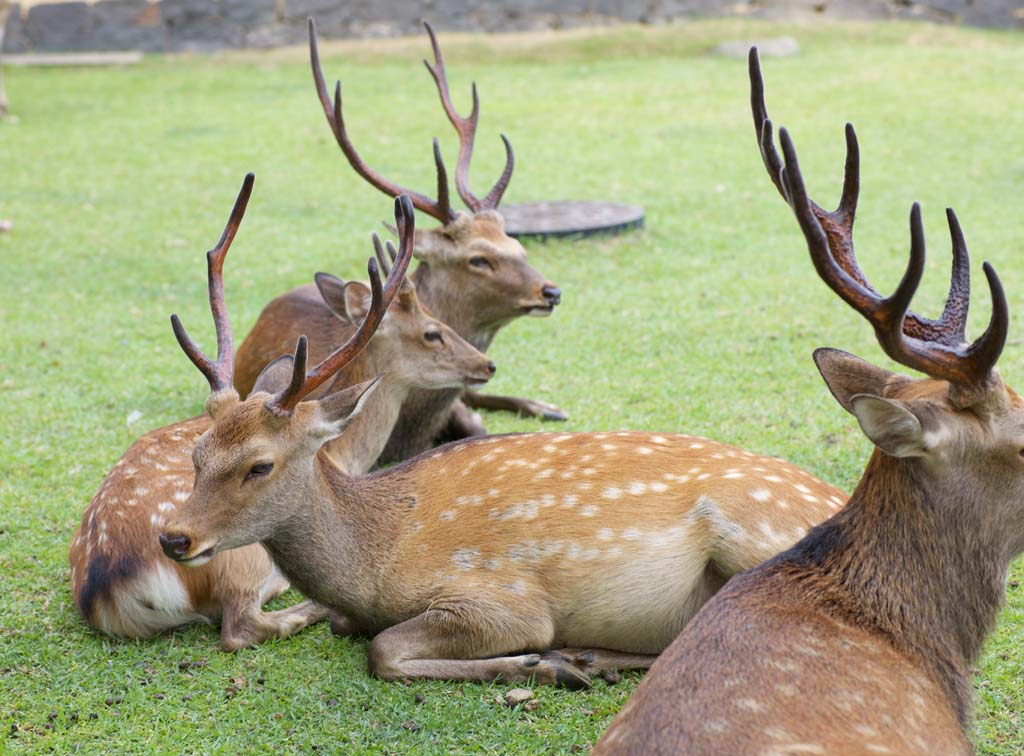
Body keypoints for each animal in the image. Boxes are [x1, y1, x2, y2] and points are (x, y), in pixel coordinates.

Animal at [71, 178, 495, 647]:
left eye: (197, 455)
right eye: (432, 332)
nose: (486, 364)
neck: (343, 454)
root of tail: (107, 588)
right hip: (238, 556)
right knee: (240, 626)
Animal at [155, 178, 851, 688]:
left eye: (260, 464)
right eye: (196, 454)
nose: (173, 536)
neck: (375, 558)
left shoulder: (499, 595)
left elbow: (386, 649)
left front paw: (533, 662)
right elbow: (352, 630)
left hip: (753, 532)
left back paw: (575, 661)